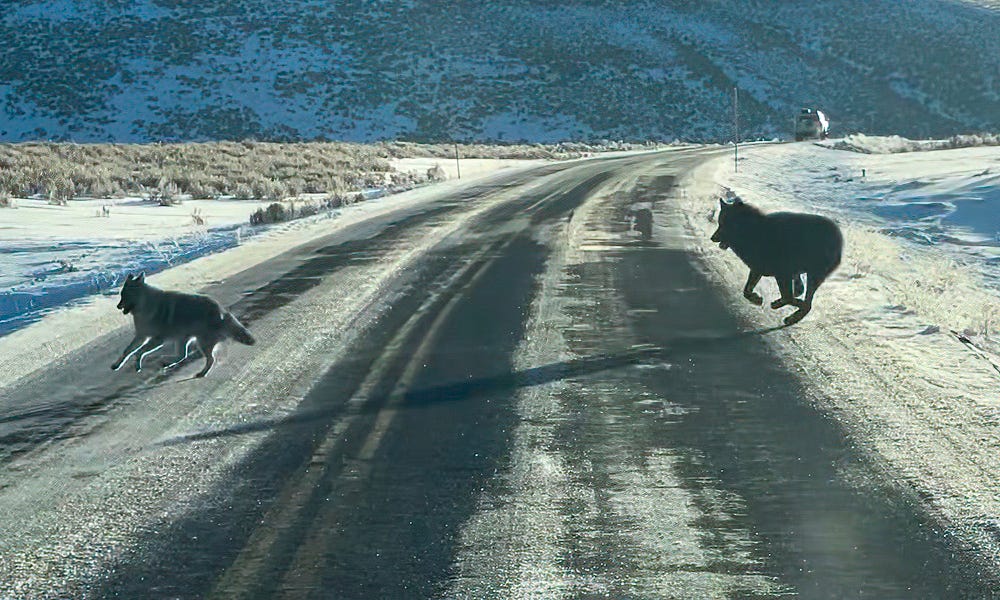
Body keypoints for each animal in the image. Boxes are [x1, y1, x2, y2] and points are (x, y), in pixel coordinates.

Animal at [111, 273, 255, 377]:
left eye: (125, 295)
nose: (118, 306)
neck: (146, 304)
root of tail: (223, 313)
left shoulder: (157, 339)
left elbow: (139, 352)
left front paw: (137, 363)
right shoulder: (142, 336)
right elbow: (128, 351)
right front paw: (118, 364)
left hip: (201, 342)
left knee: (210, 359)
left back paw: (202, 373)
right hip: (182, 338)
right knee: (183, 355)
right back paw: (168, 363)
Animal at [711, 197, 842, 325]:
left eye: (724, 225)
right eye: (719, 223)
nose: (712, 238)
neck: (753, 231)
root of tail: (839, 238)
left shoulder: (782, 274)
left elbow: (791, 298)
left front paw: (797, 304)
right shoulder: (758, 270)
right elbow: (746, 291)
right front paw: (756, 299)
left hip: (812, 275)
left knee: (806, 303)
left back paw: (793, 317)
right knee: (799, 289)